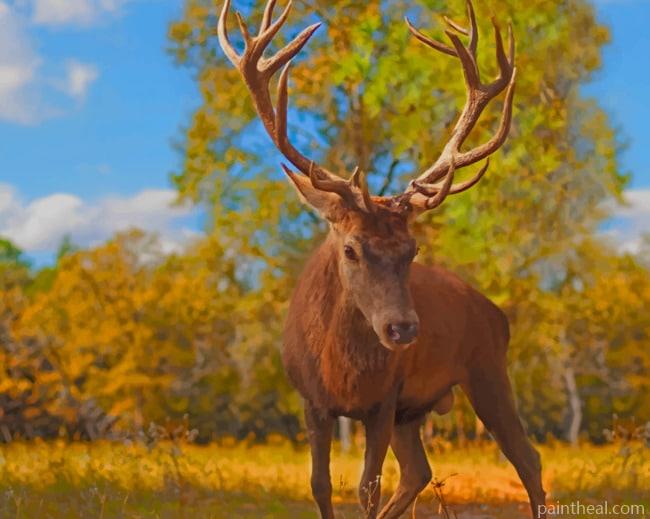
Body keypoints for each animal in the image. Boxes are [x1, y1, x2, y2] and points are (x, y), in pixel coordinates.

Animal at [217, 1, 546, 518]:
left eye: (412, 250)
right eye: (351, 248)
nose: (403, 329)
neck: (342, 374)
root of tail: (498, 313)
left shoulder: (384, 400)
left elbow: (366, 488)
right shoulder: (312, 401)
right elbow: (319, 484)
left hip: (488, 369)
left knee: (527, 458)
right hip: (417, 411)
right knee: (419, 472)